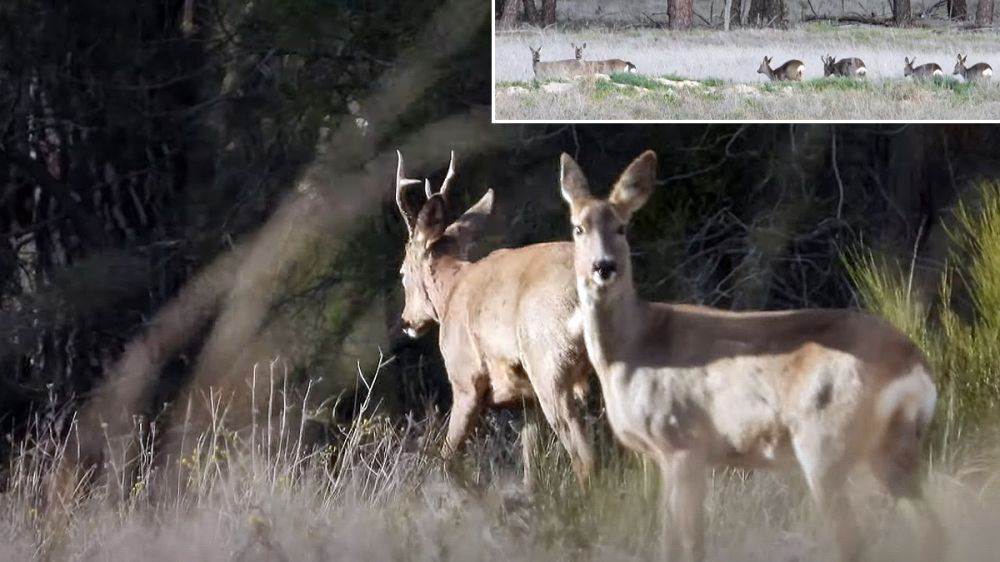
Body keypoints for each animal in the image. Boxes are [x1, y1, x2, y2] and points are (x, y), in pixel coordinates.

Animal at [392, 149, 592, 486]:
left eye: (403, 272)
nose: (407, 322)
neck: (451, 290)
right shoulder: (525, 399)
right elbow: (530, 463)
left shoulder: (465, 379)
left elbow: (448, 459)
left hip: (549, 365)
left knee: (584, 455)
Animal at [564, 149, 944, 560]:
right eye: (577, 228)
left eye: (621, 227)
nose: (604, 266)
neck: (633, 349)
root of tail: (914, 365)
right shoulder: (667, 457)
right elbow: (672, 541)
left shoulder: (683, 441)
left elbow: (688, 545)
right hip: (892, 450)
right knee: (931, 532)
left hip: (824, 442)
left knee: (854, 539)